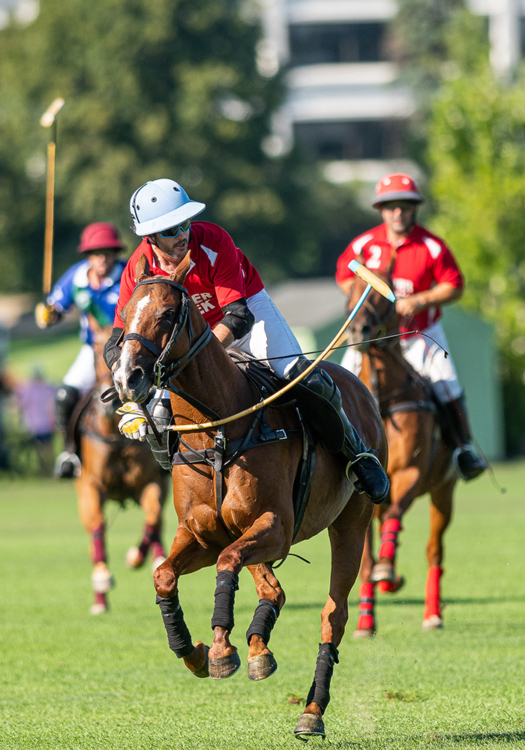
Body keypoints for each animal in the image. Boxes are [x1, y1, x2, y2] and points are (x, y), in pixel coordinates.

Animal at [75, 318, 168, 616]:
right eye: (94, 354)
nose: (114, 399)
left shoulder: (152, 482)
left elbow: (153, 518)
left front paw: (136, 558)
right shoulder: (91, 486)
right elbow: (98, 524)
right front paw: (103, 577)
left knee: (156, 524)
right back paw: (100, 601)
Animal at [112, 258, 386, 740]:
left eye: (166, 314)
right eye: (125, 312)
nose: (128, 379)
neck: (216, 430)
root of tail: (358, 384)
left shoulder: (275, 526)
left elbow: (230, 567)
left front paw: (222, 649)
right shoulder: (203, 533)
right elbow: (164, 575)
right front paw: (196, 652)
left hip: (351, 523)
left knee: (333, 614)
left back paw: (311, 711)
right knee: (270, 585)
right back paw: (260, 647)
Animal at [344, 270, 454, 636]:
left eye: (385, 293)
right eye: (349, 295)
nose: (358, 330)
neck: (384, 397)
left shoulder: (410, 474)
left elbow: (394, 522)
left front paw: (388, 573)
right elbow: (365, 560)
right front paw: (365, 618)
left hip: (444, 491)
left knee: (434, 551)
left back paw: (432, 614)